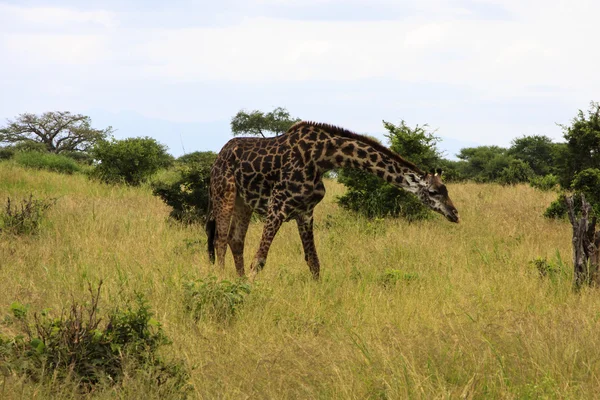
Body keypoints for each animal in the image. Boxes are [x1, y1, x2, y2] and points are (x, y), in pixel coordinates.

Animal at [206, 120, 460, 280]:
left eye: (446, 189)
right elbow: (259, 258)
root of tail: (218, 156)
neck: (322, 158)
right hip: (224, 191)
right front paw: (248, 289)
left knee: (235, 239)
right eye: (434, 192)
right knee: (220, 239)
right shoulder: (277, 206)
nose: (455, 213)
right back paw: (220, 279)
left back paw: (237, 280)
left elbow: (314, 262)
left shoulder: (305, 211)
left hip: (244, 202)